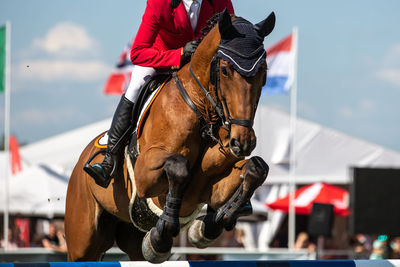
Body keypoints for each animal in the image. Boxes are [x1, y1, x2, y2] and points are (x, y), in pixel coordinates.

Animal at [66, 9, 276, 264]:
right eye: (225, 70)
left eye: (263, 72)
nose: (242, 142)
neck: (202, 112)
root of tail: (80, 160)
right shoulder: (144, 176)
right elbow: (179, 166)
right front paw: (160, 239)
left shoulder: (207, 188)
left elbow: (256, 168)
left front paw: (209, 225)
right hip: (82, 240)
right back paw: (103, 169)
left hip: (130, 237)